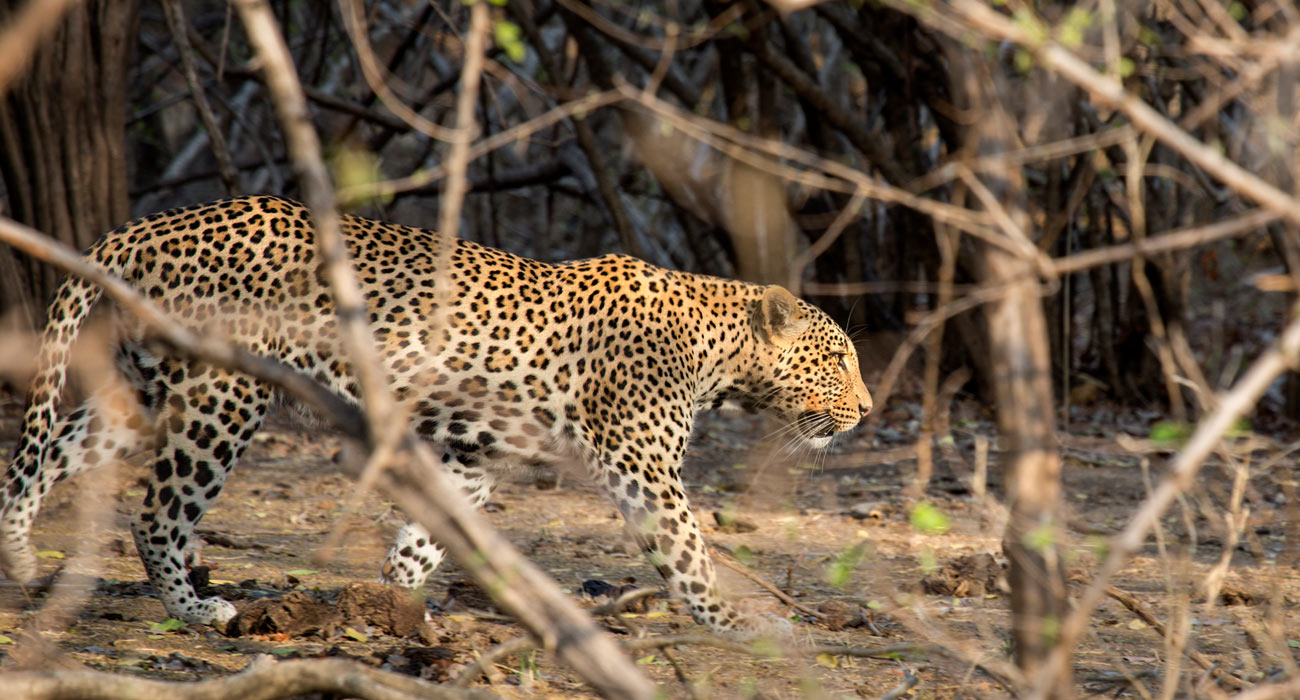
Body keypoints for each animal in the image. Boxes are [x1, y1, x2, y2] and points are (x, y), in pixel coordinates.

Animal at [5, 192, 873, 637]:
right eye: (838, 360)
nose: (867, 410)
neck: (714, 351)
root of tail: (144, 226)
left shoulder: (476, 454)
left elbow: (425, 538)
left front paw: (394, 605)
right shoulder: (641, 464)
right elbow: (688, 548)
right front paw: (731, 618)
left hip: (145, 392)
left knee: (36, 462)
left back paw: (17, 564)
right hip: (223, 398)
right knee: (157, 512)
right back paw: (193, 609)